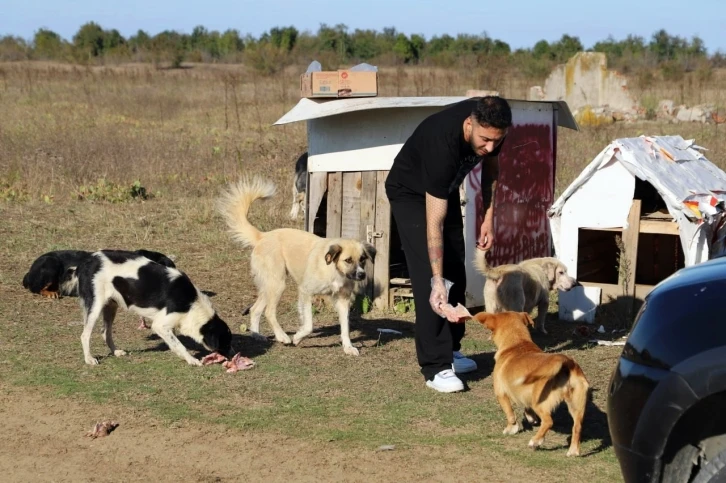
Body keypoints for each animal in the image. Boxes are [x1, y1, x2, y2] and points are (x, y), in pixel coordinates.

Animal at [76, 250, 230, 366]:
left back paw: (116, 351)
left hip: (111, 306)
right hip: (95, 306)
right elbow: (179, 345)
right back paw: (89, 359)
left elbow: (174, 342)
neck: (191, 304)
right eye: (225, 341)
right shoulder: (160, 325)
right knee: (84, 335)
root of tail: (88, 260)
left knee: (105, 332)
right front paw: (191, 360)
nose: (232, 356)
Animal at [215, 177, 376, 356]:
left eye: (362, 259)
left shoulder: (342, 299)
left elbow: (345, 327)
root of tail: (262, 236)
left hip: (269, 285)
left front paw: (348, 347)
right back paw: (282, 337)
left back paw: (257, 335)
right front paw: (298, 338)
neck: (334, 270)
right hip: (278, 284)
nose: (362, 275)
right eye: (348, 260)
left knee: (255, 309)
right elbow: (309, 325)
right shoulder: (305, 291)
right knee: (269, 312)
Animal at [474, 312, 588, 456]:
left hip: (540, 402)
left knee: (548, 421)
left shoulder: (501, 394)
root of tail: (565, 362)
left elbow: (510, 414)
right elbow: (527, 408)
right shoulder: (524, 393)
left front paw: (511, 428)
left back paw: (536, 441)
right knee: (577, 426)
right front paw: (530, 417)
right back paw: (573, 451)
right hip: (576, 406)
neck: (517, 343)